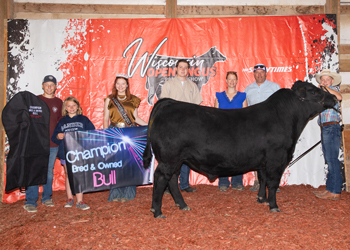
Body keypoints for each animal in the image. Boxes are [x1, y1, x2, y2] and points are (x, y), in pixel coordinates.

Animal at [142, 81, 336, 218]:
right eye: (313, 91)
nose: (334, 98)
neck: (285, 117)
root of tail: (170, 103)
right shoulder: (276, 159)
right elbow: (273, 183)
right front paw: (274, 206)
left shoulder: (263, 161)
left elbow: (263, 179)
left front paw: (261, 199)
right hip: (169, 159)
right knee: (161, 178)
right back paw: (157, 211)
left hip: (177, 160)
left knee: (172, 180)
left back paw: (182, 205)